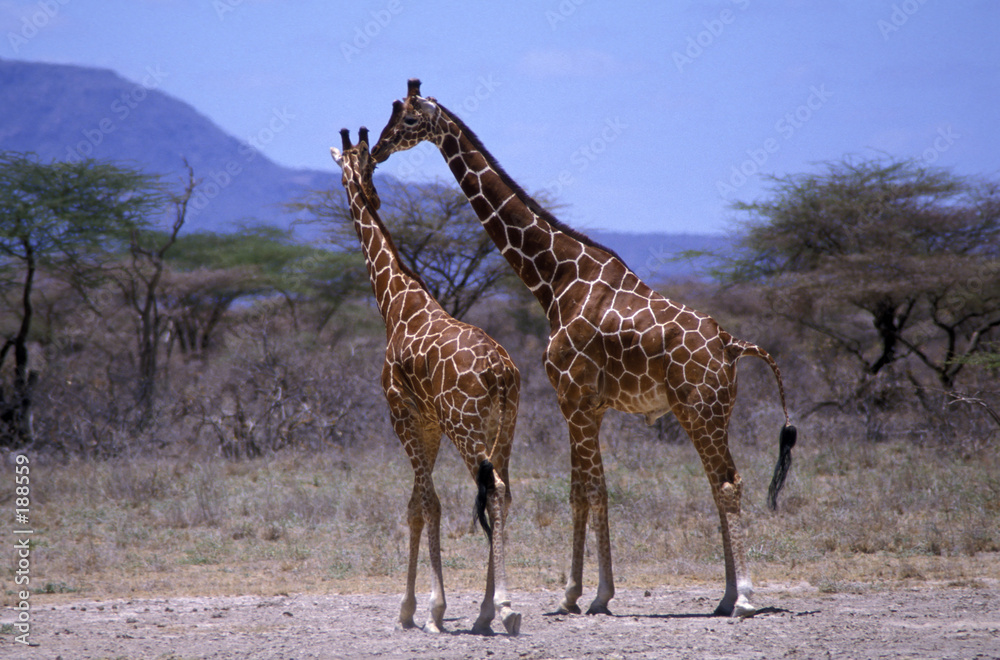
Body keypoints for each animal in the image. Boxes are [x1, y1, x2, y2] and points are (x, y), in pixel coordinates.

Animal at [331, 127, 522, 635]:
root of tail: (500, 371)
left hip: (466, 426)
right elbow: (417, 503)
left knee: (493, 491)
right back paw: (485, 612)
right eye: (364, 163)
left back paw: (505, 608)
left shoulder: (401, 412)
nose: (369, 193)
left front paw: (423, 609)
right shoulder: (429, 423)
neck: (396, 302)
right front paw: (418, 607)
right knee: (503, 491)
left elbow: (426, 503)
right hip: (504, 427)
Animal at [370, 80, 797, 618]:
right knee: (717, 482)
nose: (378, 150)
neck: (555, 278)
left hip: (702, 407)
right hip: (705, 410)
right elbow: (594, 491)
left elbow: (583, 492)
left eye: (407, 120)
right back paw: (723, 597)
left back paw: (742, 598)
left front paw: (583, 593)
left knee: (727, 482)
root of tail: (731, 343)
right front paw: (589, 592)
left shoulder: (572, 398)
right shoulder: (589, 405)